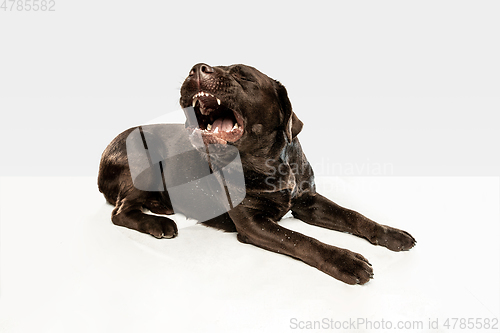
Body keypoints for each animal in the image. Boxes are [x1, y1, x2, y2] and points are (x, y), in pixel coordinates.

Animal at [96, 63, 414, 284]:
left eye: (244, 76)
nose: (196, 68)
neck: (272, 163)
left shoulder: (308, 201)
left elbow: (353, 215)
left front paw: (390, 233)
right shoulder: (253, 223)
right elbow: (302, 240)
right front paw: (345, 260)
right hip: (145, 160)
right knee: (119, 212)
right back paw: (159, 223)